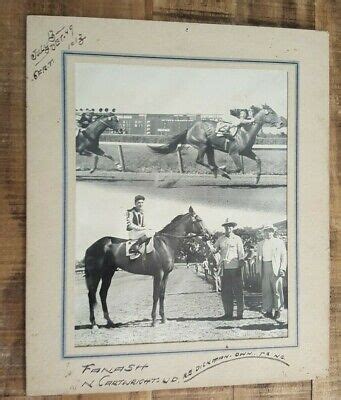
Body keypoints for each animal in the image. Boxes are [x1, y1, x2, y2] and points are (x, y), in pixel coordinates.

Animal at [150, 104, 286, 183]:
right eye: (272, 113)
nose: (282, 123)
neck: (245, 131)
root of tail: (189, 129)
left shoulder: (246, 152)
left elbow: (258, 160)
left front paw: (257, 179)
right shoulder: (234, 152)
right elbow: (238, 168)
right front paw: (225, 171)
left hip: (210, 148)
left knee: (210, 162)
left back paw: (216, 170)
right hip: (202, 144)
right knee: (200, 160)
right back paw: (220, 172)